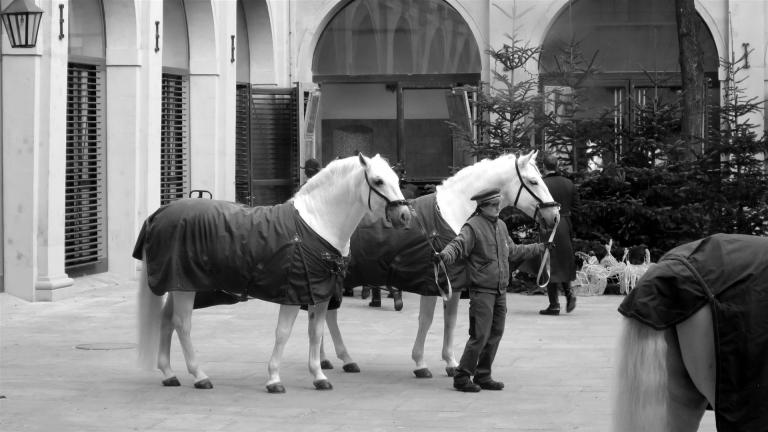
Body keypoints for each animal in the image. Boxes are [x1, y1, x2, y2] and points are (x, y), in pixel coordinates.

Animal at [138, 154, 414, 394]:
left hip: (180, 285)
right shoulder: (293, 292)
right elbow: (283, 334)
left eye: (397, 179)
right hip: (185, 287)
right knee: (182, 325)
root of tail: (160, 214)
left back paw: (169, 373)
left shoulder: (319, 294)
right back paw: (199, 376)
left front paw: (319, 376)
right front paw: (274, 380)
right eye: (378, 181)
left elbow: (316, 333)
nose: (404, 216)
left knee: (166, 320)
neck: (317, 225)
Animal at [316, 151, 560, 378]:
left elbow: (449, 321)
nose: (555, 215)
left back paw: (331, 359)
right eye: (533, 181)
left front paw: (450, 363)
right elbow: (426, 320)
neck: (452, 213)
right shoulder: (433, 281)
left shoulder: (453, 285)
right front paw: (420, 363)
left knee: (325, 314)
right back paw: (338, 359)